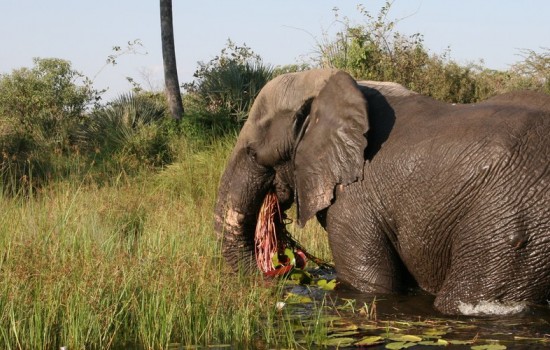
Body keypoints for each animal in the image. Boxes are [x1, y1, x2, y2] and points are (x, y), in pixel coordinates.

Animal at [215, 68, 550, 314]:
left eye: (253, 152)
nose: (282, 268)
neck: (328, 87)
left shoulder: (354, 202)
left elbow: (370, 284)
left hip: (514, 217)